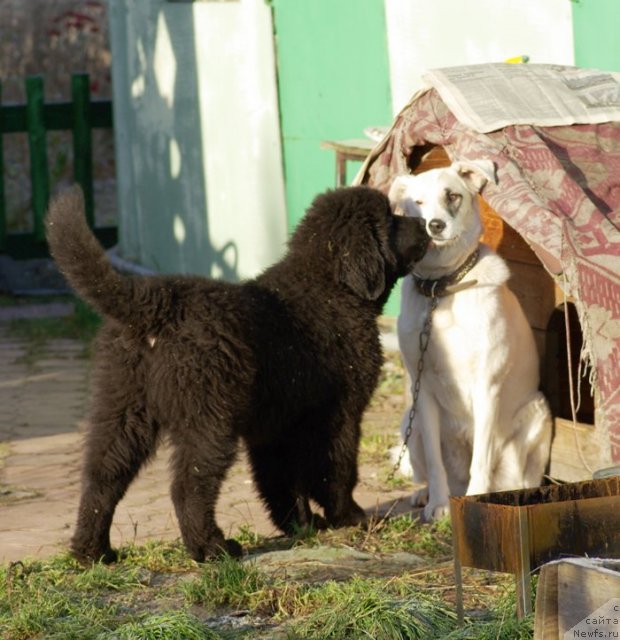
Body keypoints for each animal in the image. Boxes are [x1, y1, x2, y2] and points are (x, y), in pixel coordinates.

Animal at [46, 185, 428, 560]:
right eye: (391, 220)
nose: (427, 226)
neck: (332, 288)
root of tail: (157, 302)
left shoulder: (275, 426)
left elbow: (281, 481)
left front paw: (302, 526)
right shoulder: (339, 412)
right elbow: (335, 468)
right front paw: (350, 516)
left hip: (123, 408)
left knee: (102, 476)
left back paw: (93, 551)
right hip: (208, 417)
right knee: (188, 484)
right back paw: (211, 547)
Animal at [388, 160, 552, 520]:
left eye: (452, 196)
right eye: (417, 203)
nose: (434, 226)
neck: (441, 289)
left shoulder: (486, 386)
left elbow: (482, 459)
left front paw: (478, 500)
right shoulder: (423, 392)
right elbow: (435, 463)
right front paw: (437, 504)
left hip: (537, 414)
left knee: (516, 479)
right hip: (410, 422)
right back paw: (425, 494)